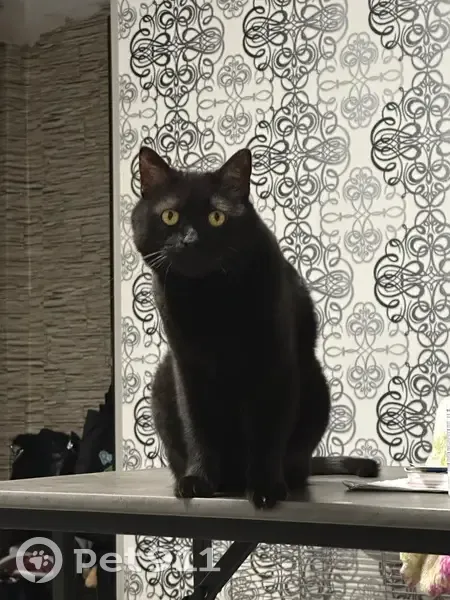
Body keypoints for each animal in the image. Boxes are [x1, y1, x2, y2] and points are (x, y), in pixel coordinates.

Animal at [131, 146, 379, 509]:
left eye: (216, 218)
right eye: (170, 216)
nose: (190, 240)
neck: (209, 300)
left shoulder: (274, 363)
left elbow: (266, 432)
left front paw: (264, 488)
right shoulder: (187, 368)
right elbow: (198, 427)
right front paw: (197, 480)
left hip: (315, 385)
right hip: (163, 379)